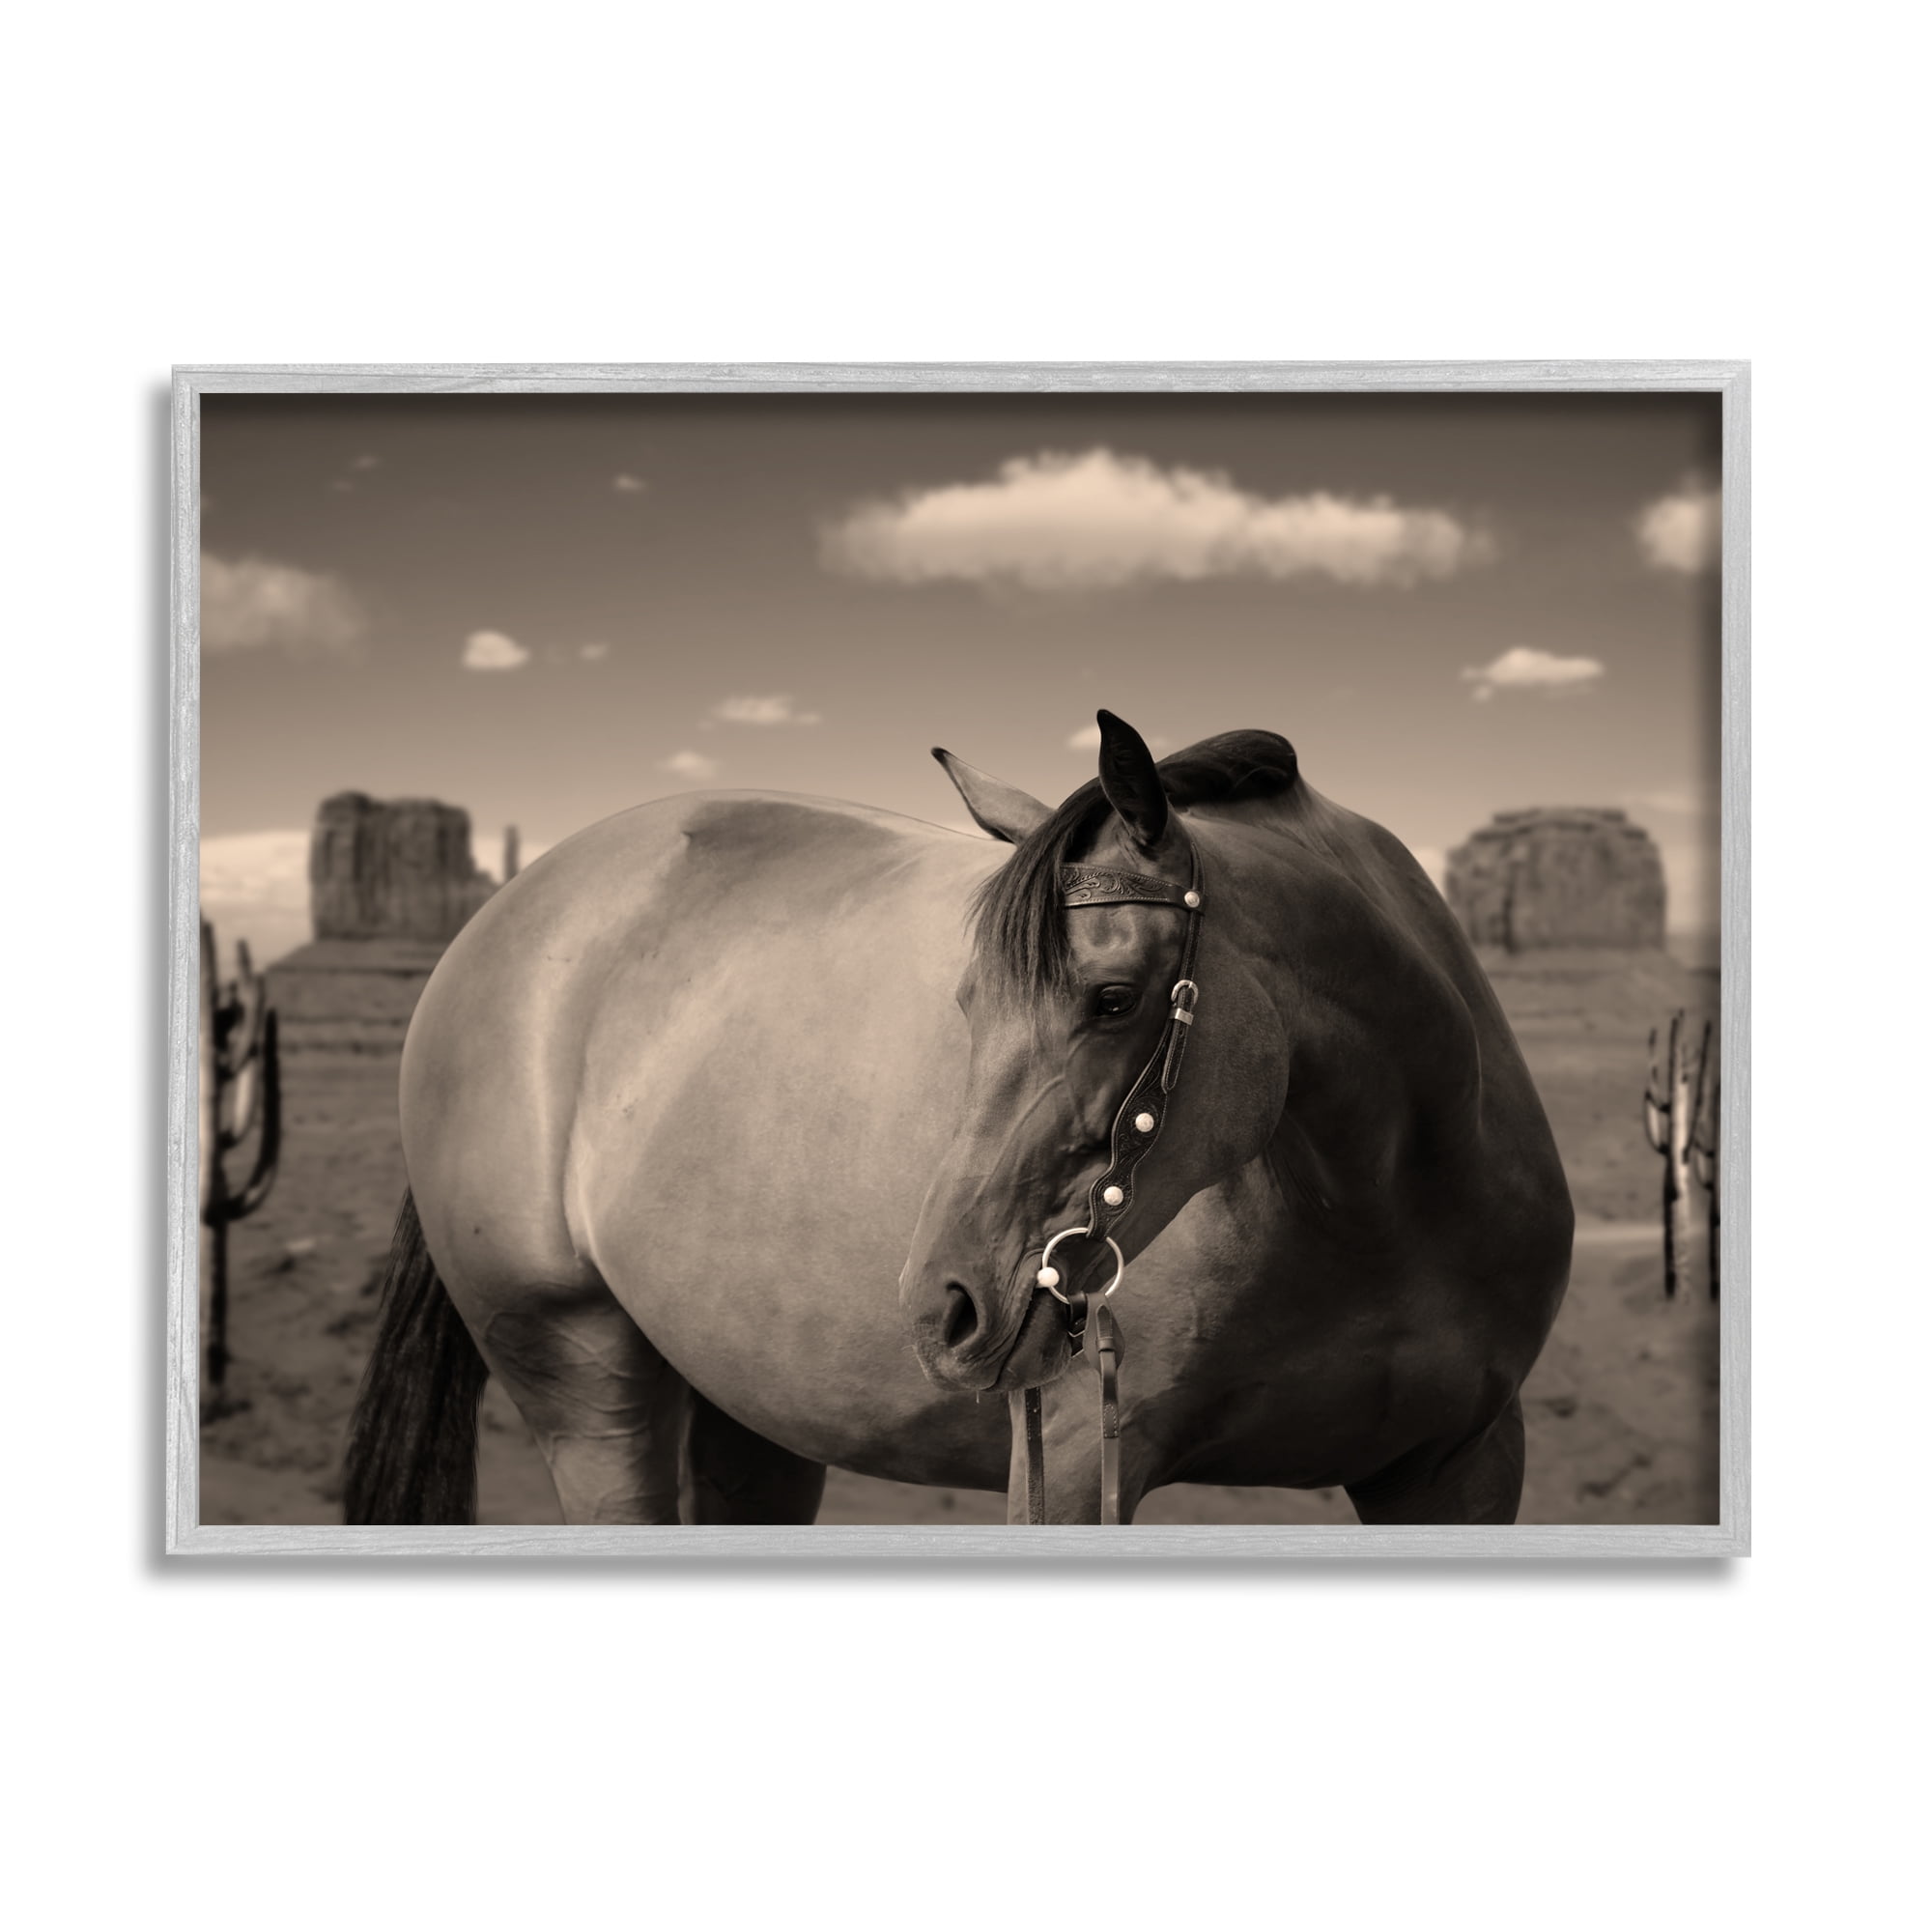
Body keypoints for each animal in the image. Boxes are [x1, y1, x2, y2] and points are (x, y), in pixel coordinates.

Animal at [343, 712, 1573, 1527]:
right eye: (969, 1001)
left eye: (1112, 998)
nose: (945, 1304)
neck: (1382, 1204)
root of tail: (506, 916)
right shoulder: (1070, 1467)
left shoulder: (1461, 1465)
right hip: (576, 1365)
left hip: (752, 1409)